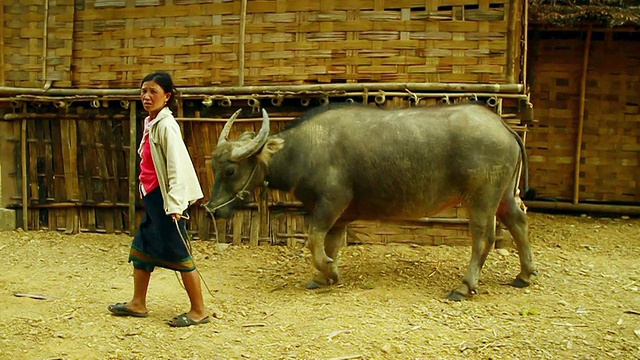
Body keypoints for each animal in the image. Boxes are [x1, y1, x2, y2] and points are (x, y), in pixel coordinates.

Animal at [205, 104, 536, 300]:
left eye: (230, 169)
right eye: (212, 166)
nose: (211, 208)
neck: (305, 150)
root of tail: (504, 126)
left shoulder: (330, 203)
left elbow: (314, 240)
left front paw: (329, 271)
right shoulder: (338, 215)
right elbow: (331, 243)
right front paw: (324, 276)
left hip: (481, 198)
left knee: (484, 236)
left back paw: (465, 286)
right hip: (505, 194)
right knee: (518, 221)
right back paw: (524, 274)